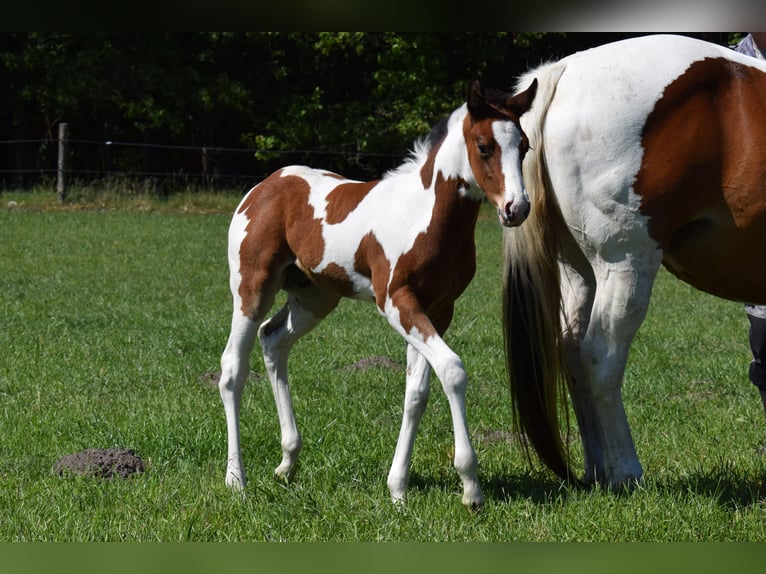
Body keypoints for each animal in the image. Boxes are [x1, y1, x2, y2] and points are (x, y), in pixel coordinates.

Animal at [218, 77, 538, 508]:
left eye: (524, 146)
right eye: (484, 146)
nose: (516, 209)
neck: (424, 215)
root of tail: (266, 185)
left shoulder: (438, 309)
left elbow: (416, 393)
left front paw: (398, 487)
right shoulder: (397, 302)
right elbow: (453, 371)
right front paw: (470, 486)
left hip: (314, 297)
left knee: (273, 340)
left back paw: (287, 462)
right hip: (251, 288)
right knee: (232, 369)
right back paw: (236, 479)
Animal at [503, 34, 766, 490]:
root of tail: (565, 71)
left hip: (579, 270)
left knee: (573, 352)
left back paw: (596, 469)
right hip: (624, 264)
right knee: (600, 356)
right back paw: (625, 472)